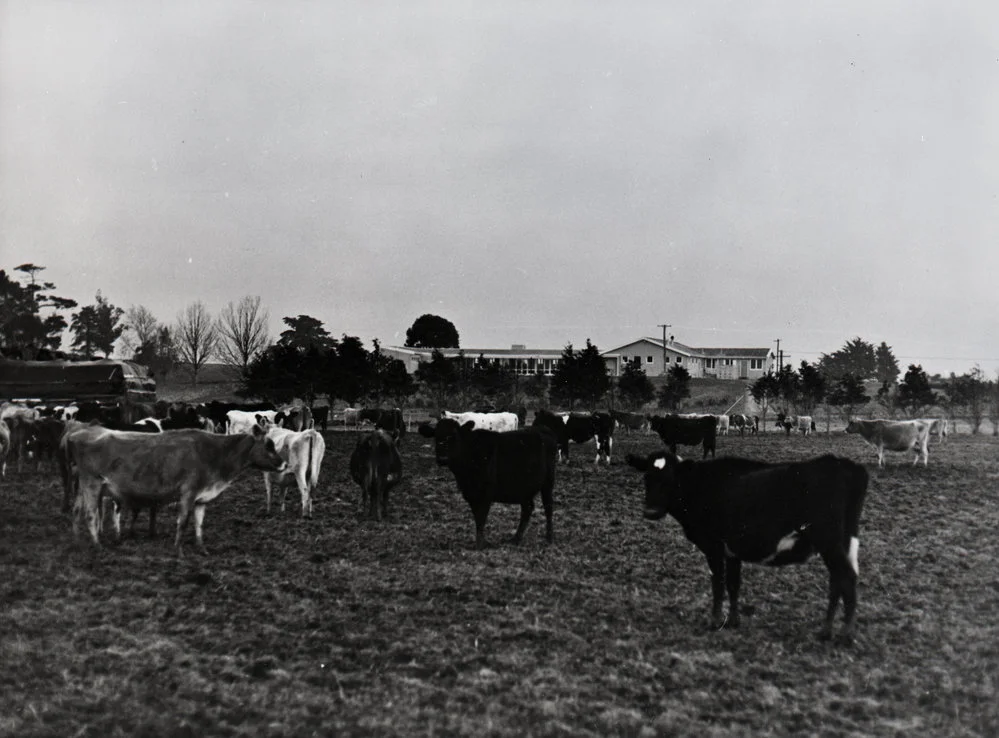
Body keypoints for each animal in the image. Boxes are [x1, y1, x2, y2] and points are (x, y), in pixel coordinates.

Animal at [67, 426, 286, 552]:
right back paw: (97, 546)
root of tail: (77, 433)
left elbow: (199, 524)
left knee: (76, 511)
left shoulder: (201, 498)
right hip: (92, 483)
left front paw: (201, 548)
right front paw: (178, 550)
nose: (284, 464)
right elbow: (183, 522)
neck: (214, 454)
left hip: (81, 486)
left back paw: (77, 542)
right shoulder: (188, 492)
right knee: (90, 514)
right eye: (269, 445)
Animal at [418, 416, 560, 548]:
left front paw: (480, 544)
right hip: (523, 487)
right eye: (436, 437)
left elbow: (481, 517)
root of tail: (542, 429)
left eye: (454, 436)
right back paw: (516, 539)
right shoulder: (470, 494)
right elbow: (477, 518)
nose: (442, 459)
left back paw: (549, 538)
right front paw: (481, 542)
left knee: (548, 506)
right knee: (527, 508)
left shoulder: (486, 492)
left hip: (548, 482)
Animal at [624, 446, 868, 640]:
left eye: (671, 479)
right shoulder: (733, 551)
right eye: (646, 477)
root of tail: (841, 463)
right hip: (843, 542)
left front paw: (715, 621)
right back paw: (827, 630)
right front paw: (733, 620)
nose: (651, 512)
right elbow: (733, 584)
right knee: (839, 580)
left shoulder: (714, 547)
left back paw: (844, 634)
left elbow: (718, 584)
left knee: (846, 577)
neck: (699, 485)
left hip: (829, 542)